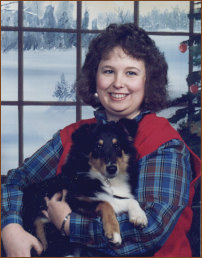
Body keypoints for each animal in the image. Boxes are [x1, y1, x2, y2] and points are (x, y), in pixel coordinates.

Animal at [22, 118, 148, 256]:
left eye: (117, 145)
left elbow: (129, 200)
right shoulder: (73, 201)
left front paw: (139, 216)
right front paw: (114, 233)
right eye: (98, 146)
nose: (112, 169)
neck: (105, 180)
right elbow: (105, 203)